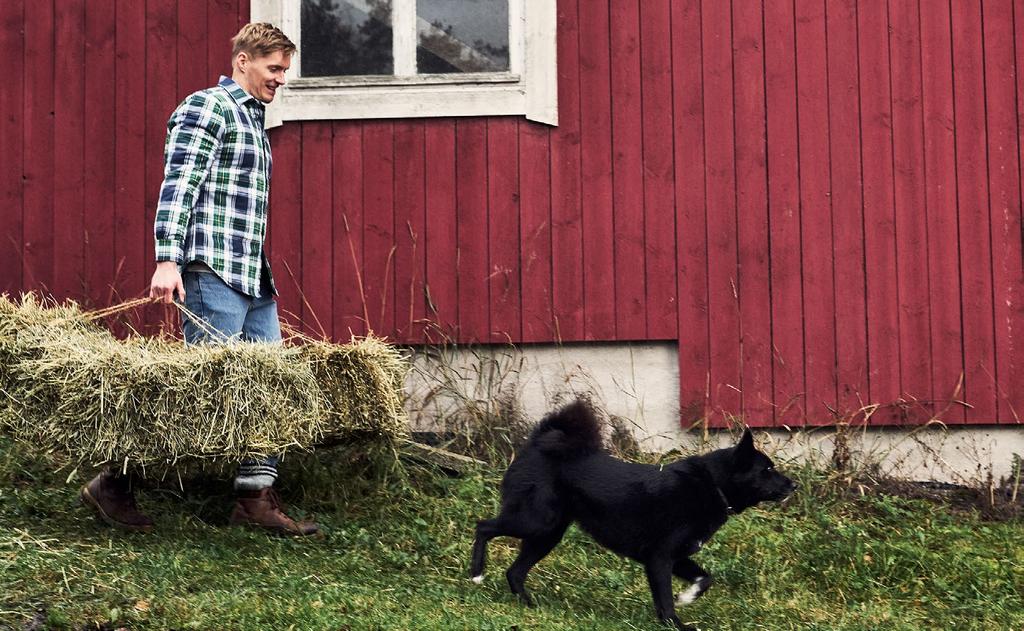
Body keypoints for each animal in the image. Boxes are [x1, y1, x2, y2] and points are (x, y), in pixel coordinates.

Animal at [468, 401, 794, 626]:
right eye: (767, 470)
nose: (795, 484)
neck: (712, 484)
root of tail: (539, 443)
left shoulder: (678, 556)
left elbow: (705, 578)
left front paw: (686, 598)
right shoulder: (660, 558)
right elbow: (665, 599)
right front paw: (675, 623)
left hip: (547, 534)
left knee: (514, 571)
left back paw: (530, 605)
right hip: (536, 521)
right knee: (483, 526)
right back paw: (476, 573)